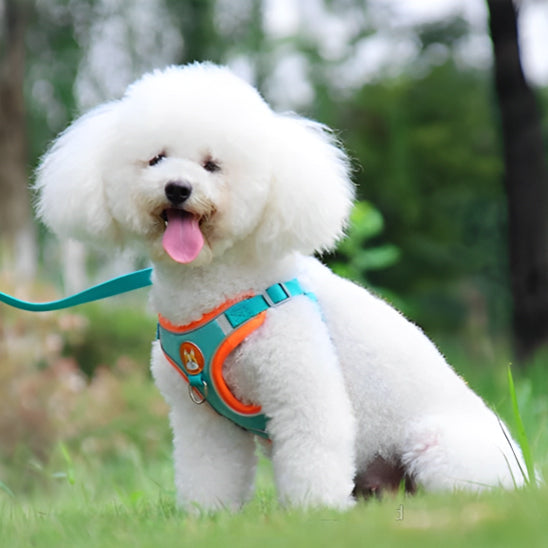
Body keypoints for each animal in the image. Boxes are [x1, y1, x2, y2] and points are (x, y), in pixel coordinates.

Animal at [34, 62, 528, 512]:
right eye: (155, 159)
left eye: (212, 165)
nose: (178, 188)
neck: (219, 291)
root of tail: (529, 475)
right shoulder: (201, 420)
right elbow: (208, 470)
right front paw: (207, 517)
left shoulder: (301, 388)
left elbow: (313, 454)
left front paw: (316, 514)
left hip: (440, 449)